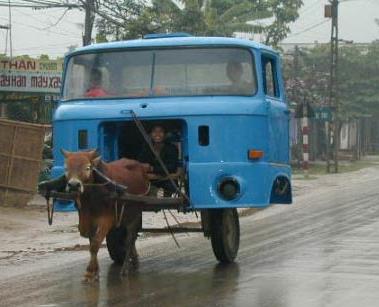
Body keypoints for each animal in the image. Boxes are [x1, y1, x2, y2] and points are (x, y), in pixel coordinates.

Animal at [62, 150, 150, 282]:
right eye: (66, 168)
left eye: (87, 167)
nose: (73, 185)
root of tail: (142, 167)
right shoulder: (87, 220)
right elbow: (92, 243)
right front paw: (95, 271)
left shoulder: (106, 220)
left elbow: (95, 244)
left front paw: (89, 272)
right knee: (132, 239)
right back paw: (134, 260)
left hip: (135, 214)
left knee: (129, 240)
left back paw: (125, 269)